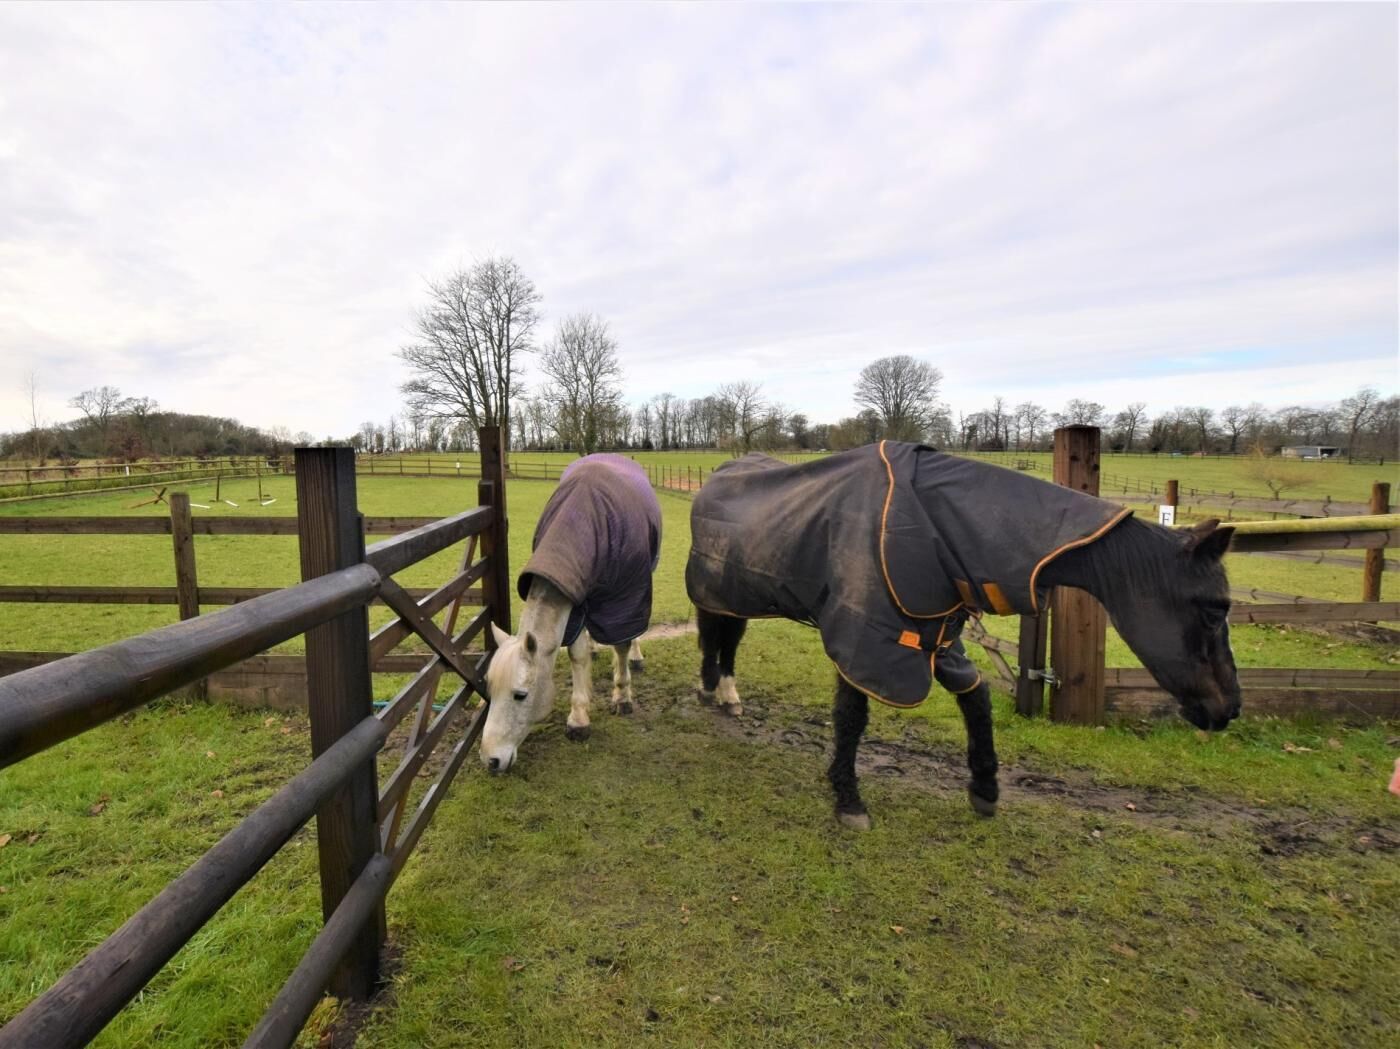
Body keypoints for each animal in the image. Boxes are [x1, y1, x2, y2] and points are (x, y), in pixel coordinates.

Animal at [481, 453, 662, 773]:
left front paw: (621, 696)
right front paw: (579, 715)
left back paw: (636, 657)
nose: (490, 760)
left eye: (520, 695)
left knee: (633, 632)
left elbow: (622, 644)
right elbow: (577, 655)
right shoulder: (574, 602)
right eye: (489, 688)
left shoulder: (625, 596)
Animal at [687, 441, 1240, 829]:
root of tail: (718, 475)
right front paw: (848, 800)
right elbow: (852, 716)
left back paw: (722, 693)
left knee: (725, 639)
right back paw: (718, 691)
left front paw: (986, 788)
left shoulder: (939, 635)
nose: (1229, 709)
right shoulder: (862, 635)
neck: (936, 524)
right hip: (721, 590)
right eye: (1216, 607)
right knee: (720, 636)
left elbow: (977, 699)